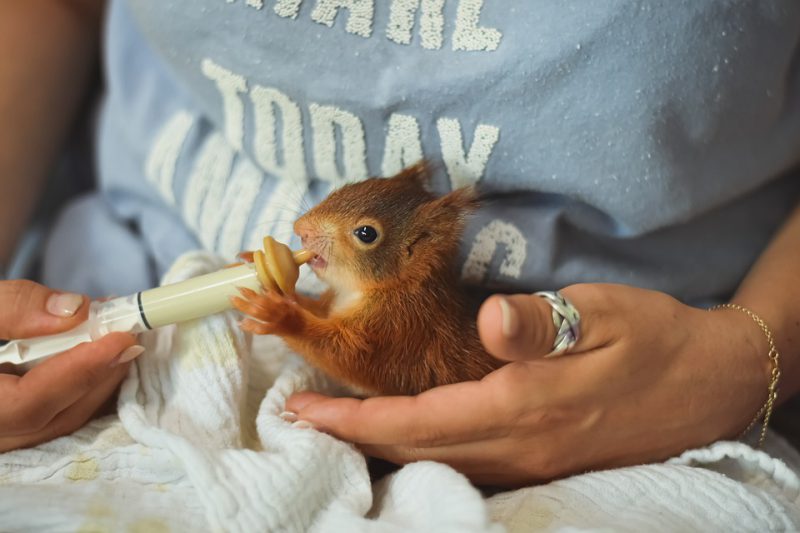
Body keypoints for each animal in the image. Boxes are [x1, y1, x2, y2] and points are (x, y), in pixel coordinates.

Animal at [230, 163, 500, 394]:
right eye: (345, 188)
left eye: (367, 233)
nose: (301, 229)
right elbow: (315, 310)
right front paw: (257, 266)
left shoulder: (397, 328)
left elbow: (345, 356)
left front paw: (279, 317)